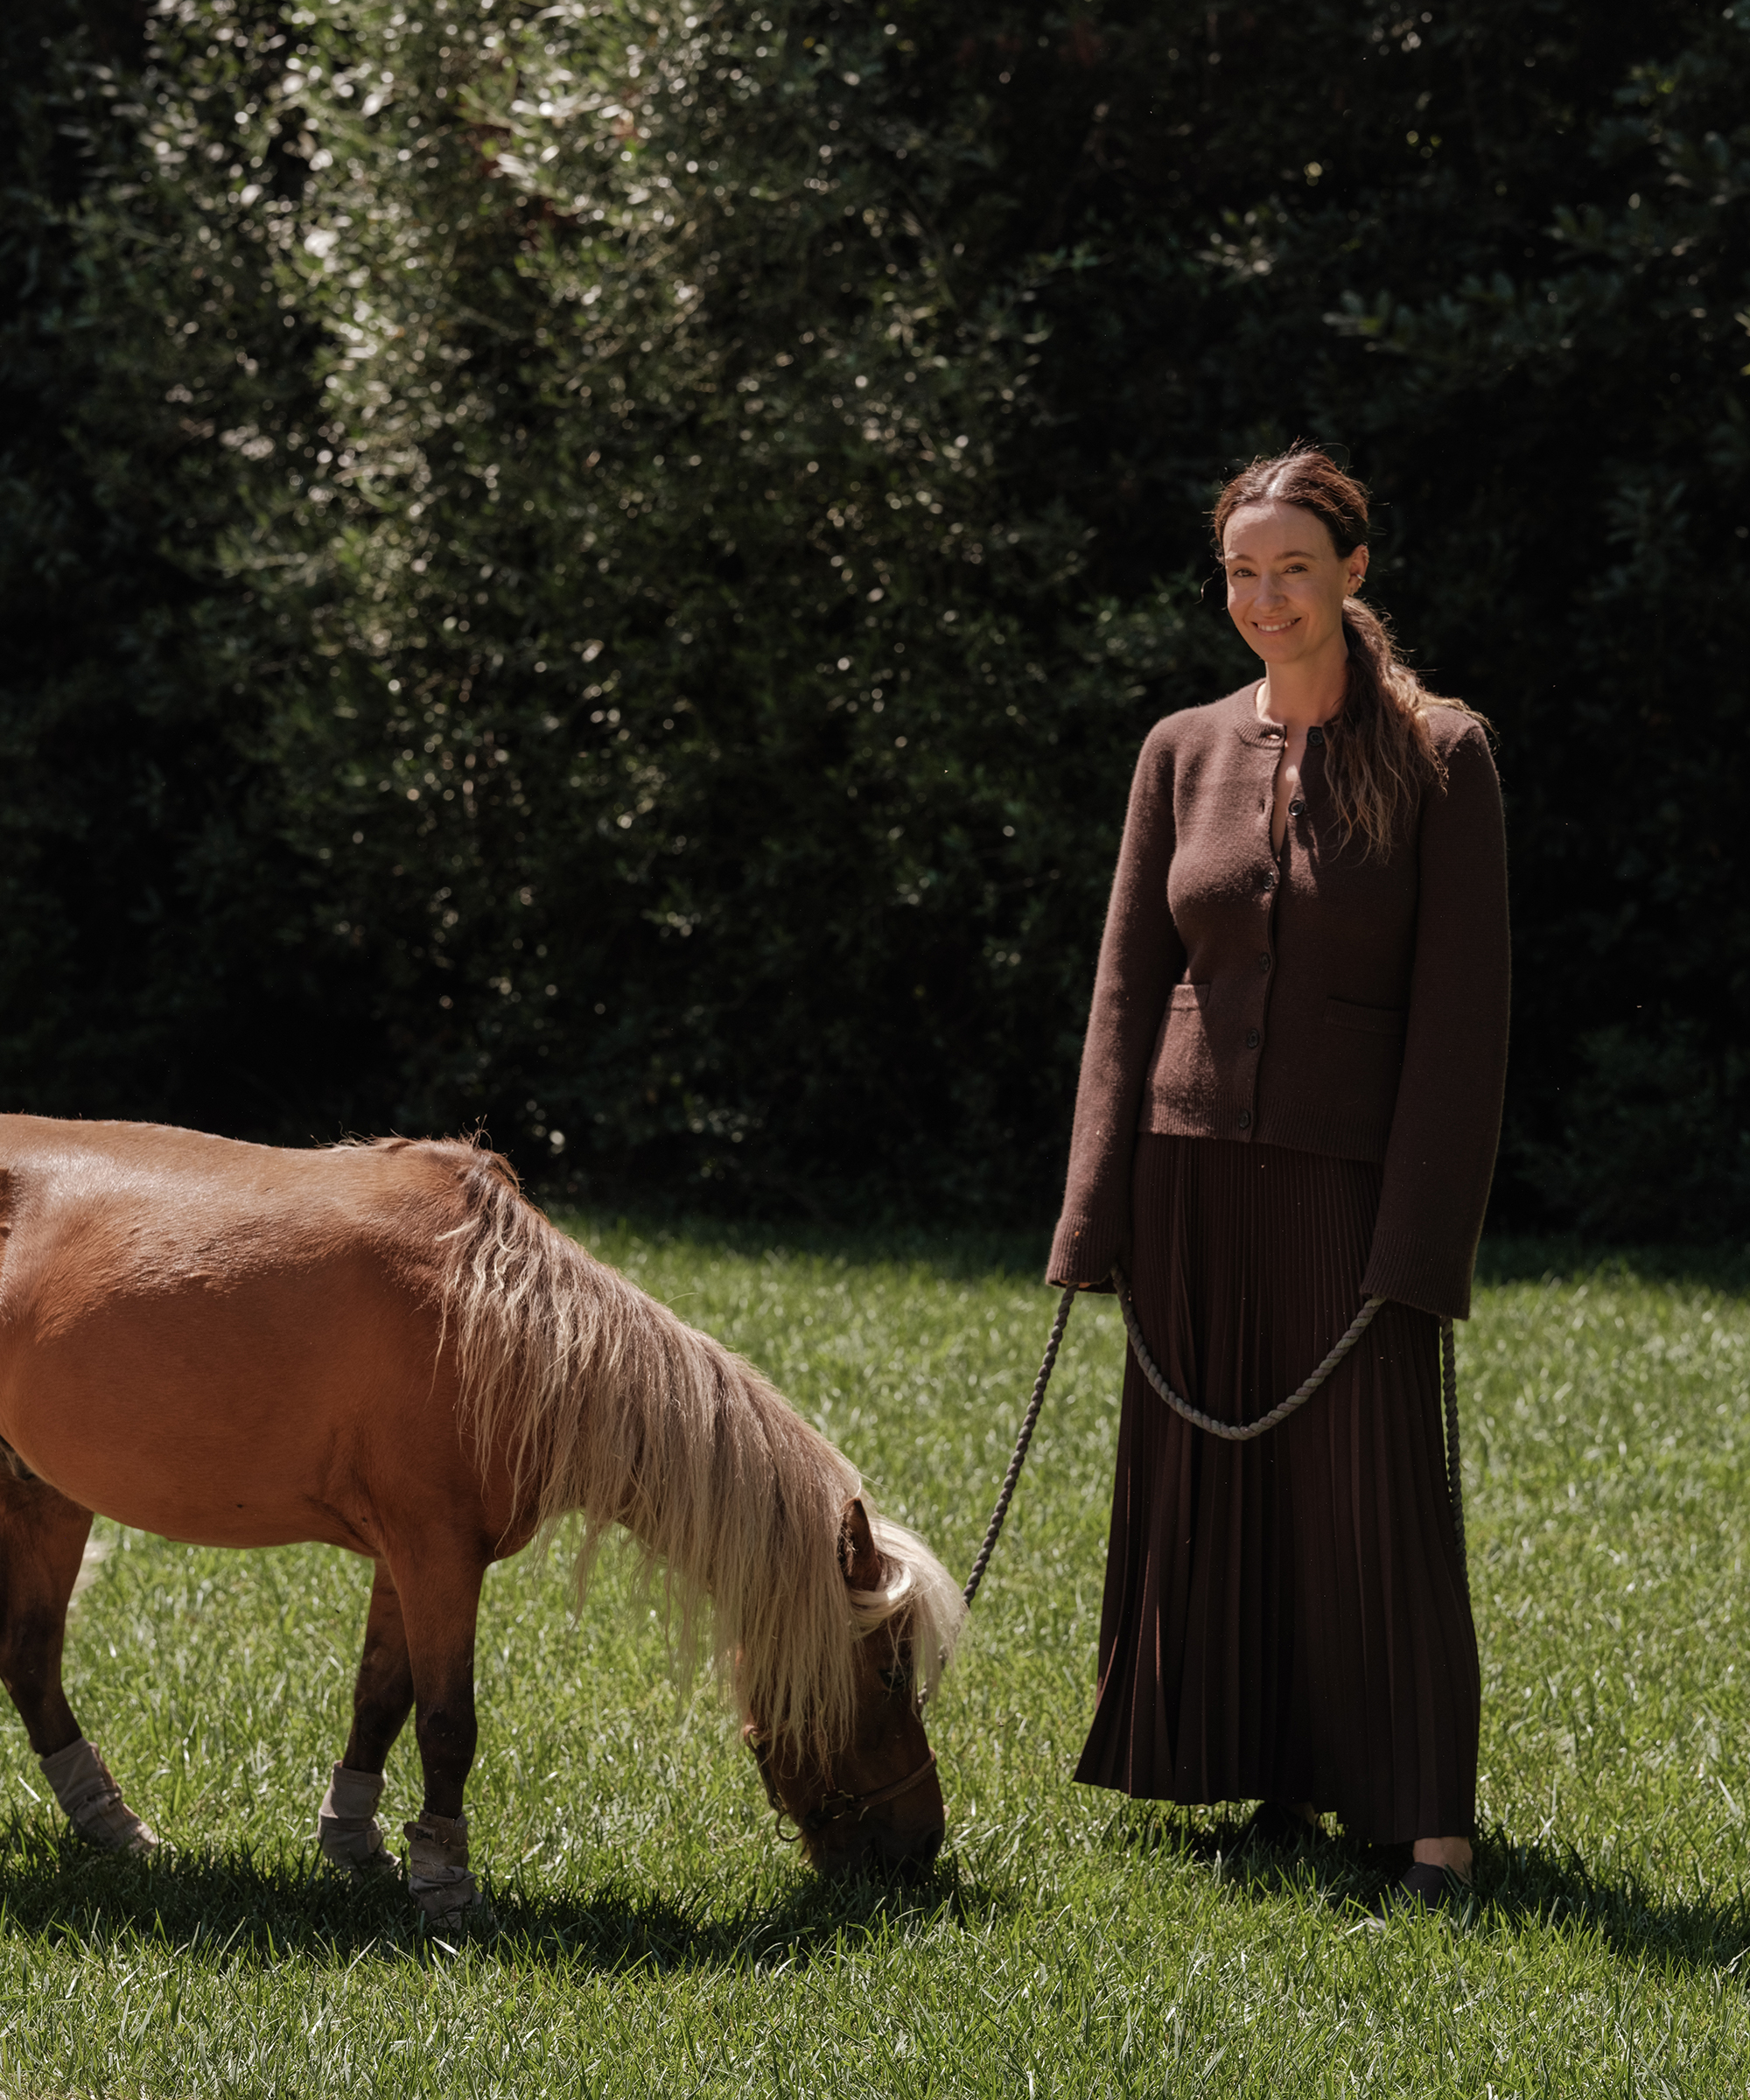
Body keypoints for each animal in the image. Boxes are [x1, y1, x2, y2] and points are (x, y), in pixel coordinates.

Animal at [0, 1116, 964, 1915]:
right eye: (888, 1672)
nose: (921, 1849)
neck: (495, 1315)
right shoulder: (439, 1555)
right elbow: (446, 1723)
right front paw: (445, 1886)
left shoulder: (403, 1559)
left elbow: (380, 1701)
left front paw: (357, 1847)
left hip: (43, 1491)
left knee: (31, 1660)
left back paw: (113, 1829)